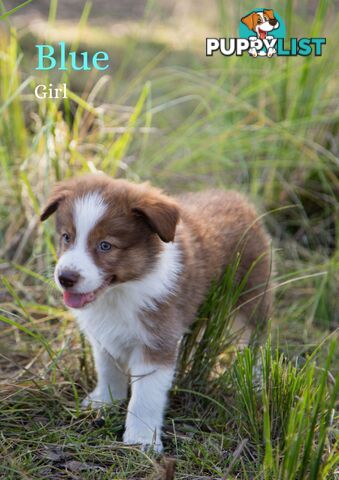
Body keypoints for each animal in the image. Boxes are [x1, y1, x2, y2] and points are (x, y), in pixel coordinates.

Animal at [40, 174, 274, 452]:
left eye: (105, 245)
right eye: (67, 237)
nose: (65, 278)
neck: (121, 292)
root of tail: (237, 198)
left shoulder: (157, 341)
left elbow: (145, 396)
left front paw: (141, 440)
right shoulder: (104, 335)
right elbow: (108, 369)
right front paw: (105, 402)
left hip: (251, 298)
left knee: (255, 340)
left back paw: (257, 380)